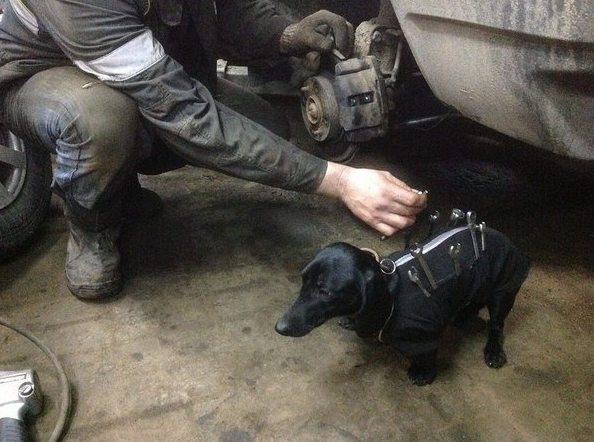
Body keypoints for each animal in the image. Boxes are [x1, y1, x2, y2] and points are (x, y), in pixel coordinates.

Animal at [275, 213, 530, 385]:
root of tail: (503, 237)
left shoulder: (425, 334)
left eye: (325, 292)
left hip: (503, 288)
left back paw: (493, 351)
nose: (279, 327)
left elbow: (427, 354)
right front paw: (351, 321)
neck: (391, 293)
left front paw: (423, 373)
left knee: (496, 324)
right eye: (302, 280)